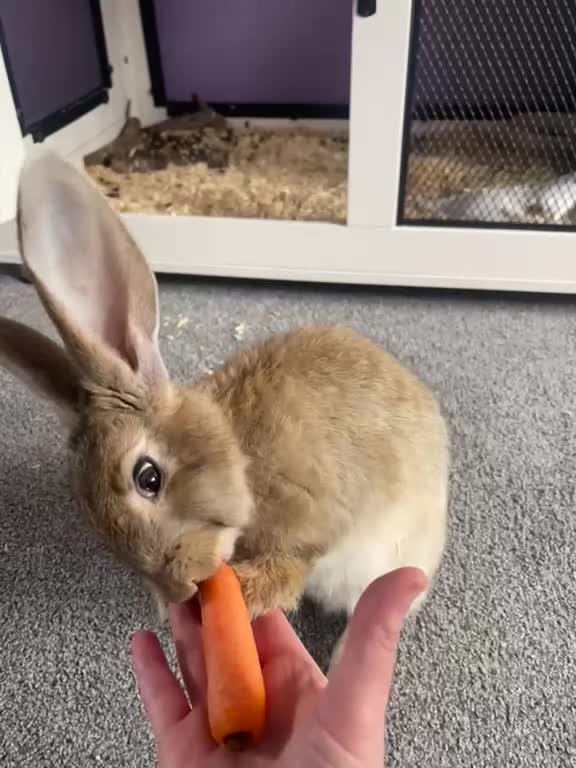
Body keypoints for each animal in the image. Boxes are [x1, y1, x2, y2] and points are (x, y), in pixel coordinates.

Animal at [0, 149, 449, 655]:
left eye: (148, 477)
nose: (179, 589)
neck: (239, 450)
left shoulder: (317, 511)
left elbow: (294, 561)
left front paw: (248, 591)